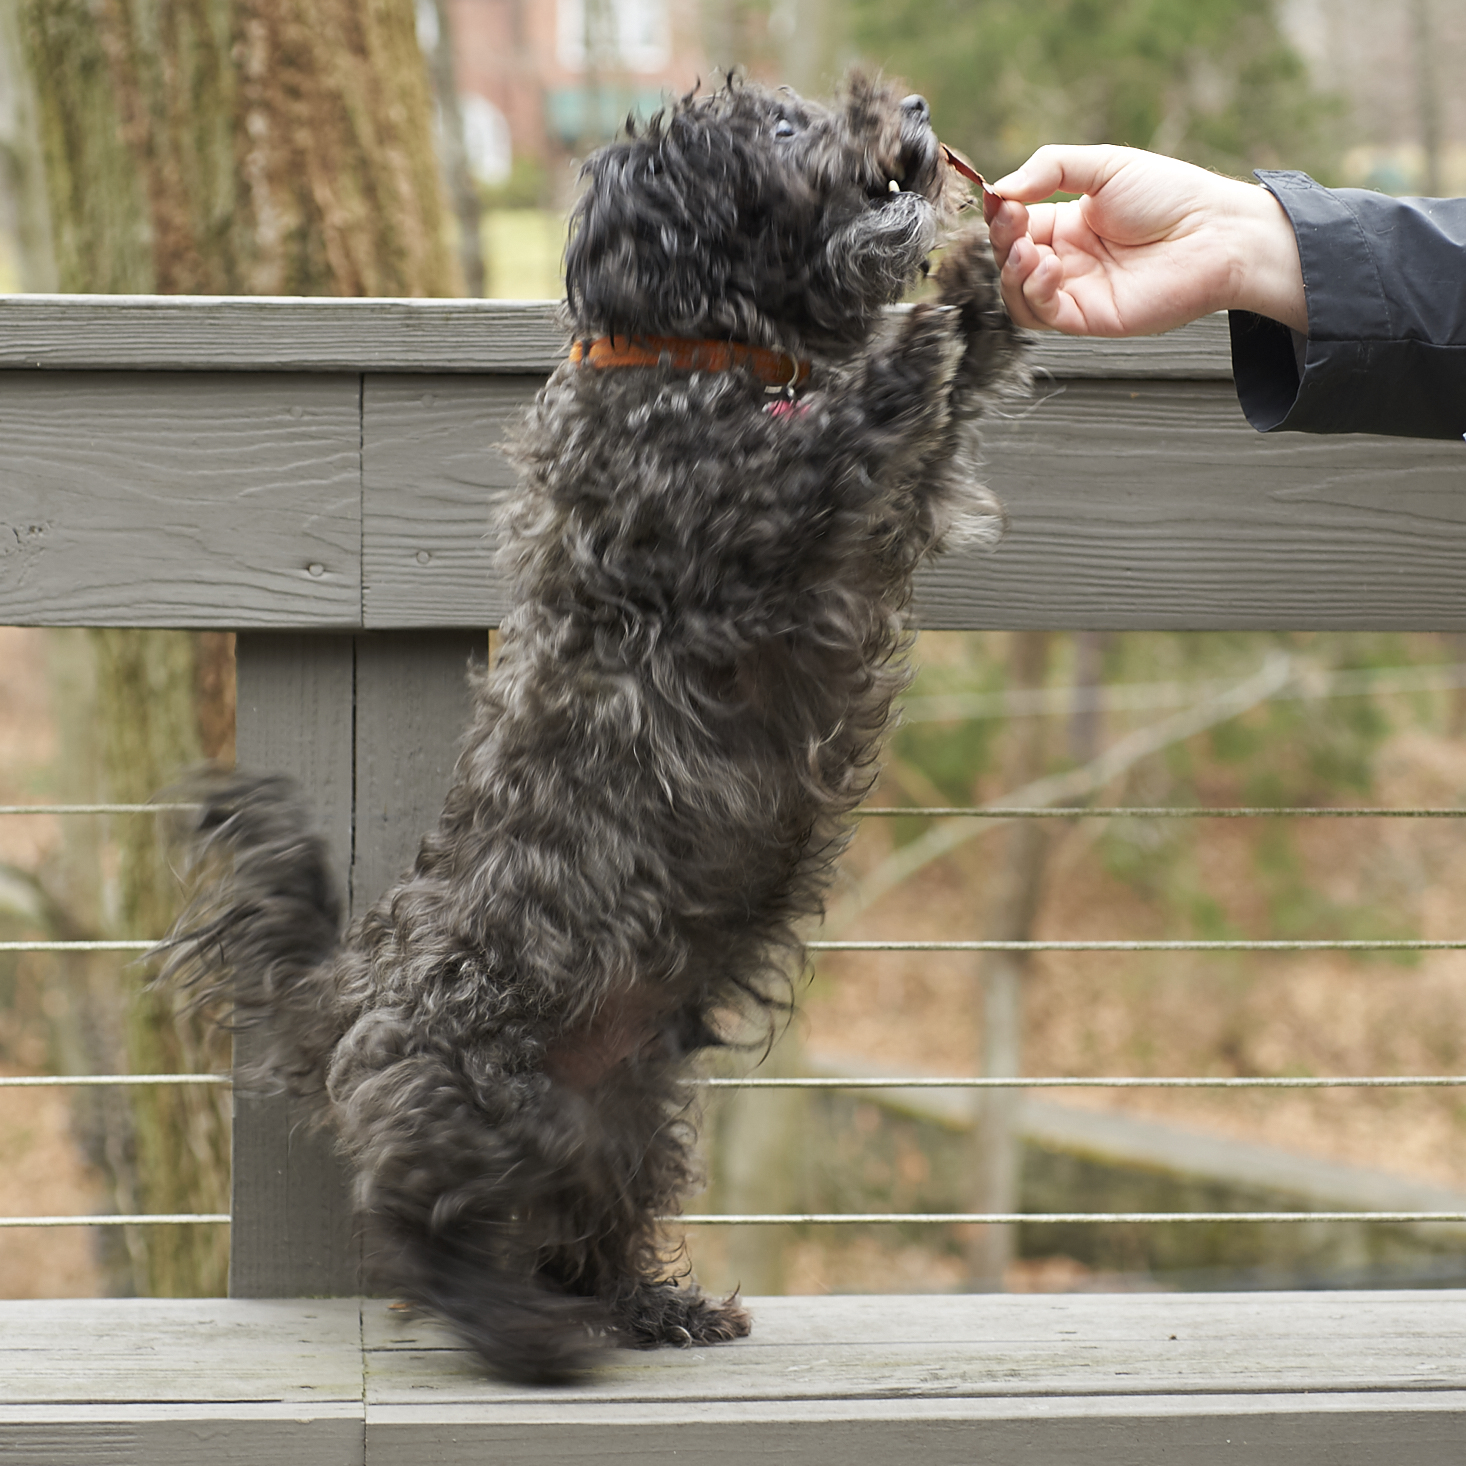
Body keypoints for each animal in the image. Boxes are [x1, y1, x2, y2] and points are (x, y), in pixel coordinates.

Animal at [163, 74, 1020, 1378]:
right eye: (780, 131)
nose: (911, 107)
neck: (702, 353)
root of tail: (344, 995)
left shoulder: (886, 519)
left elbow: (943, 417)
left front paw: (1000, 293)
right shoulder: (759, 506)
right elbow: (866, 404)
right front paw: (946, 299)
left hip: (630, 1118)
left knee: (587, 1232)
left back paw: (650, 1305)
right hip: (474, 1095)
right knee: (422, 1228)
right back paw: (523, 1331)